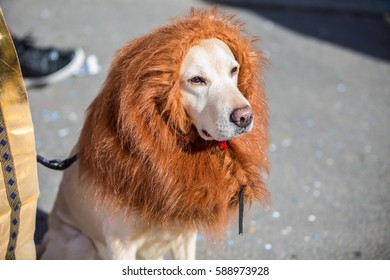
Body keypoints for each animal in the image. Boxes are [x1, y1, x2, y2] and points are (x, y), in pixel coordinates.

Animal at [41, 7, 270, 260]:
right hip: (80, 244)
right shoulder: (120, 246)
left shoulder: (185, 234)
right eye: (196, 80)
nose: (245, 117)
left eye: (234, 70)